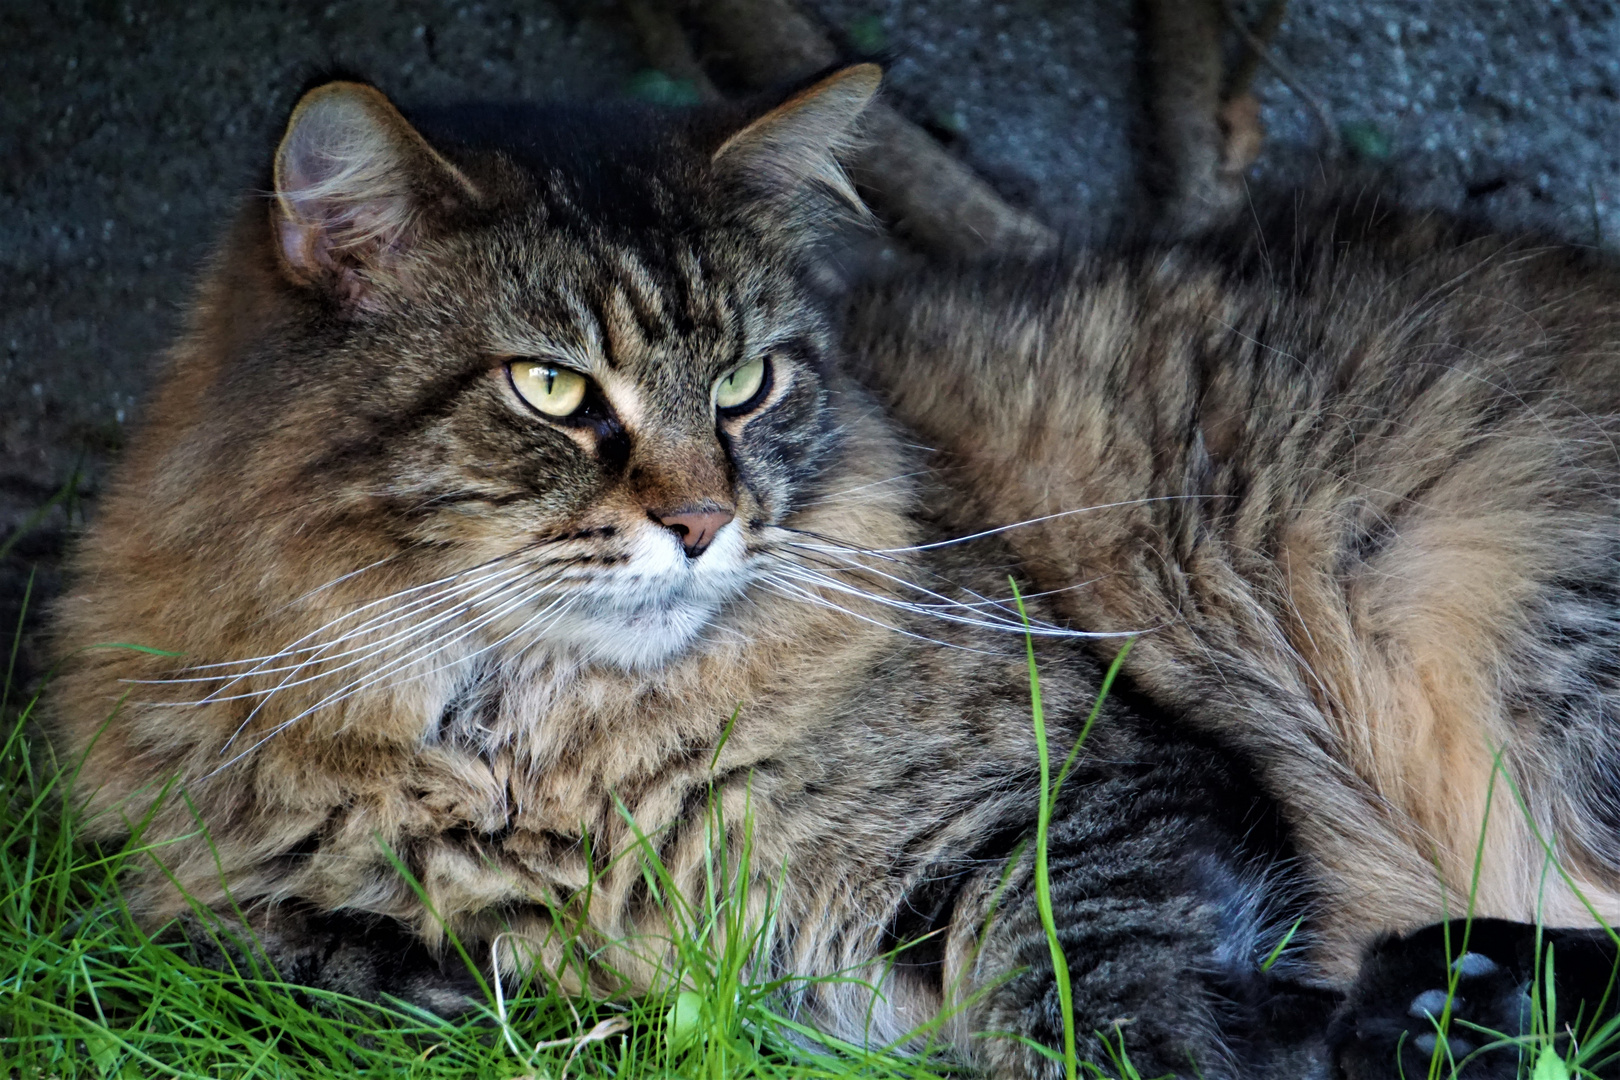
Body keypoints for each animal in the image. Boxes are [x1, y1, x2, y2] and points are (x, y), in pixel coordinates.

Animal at [44, 63, 1620, 1075]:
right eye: (553, 390)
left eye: (746, 382)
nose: (703, 522)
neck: (546, 748)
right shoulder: (188, 901)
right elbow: (331, 952)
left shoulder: (1110, 775)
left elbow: (1084, 972)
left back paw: (1443, 1005)